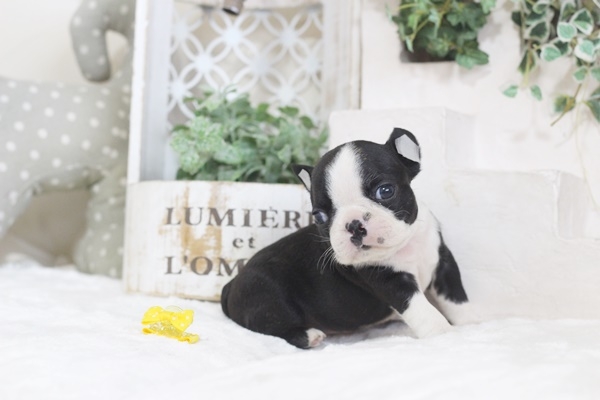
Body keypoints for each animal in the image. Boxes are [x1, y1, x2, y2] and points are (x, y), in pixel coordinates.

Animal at [221, 128, 468, 348]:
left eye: (385, 191)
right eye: (319, 216)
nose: (354, 224)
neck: (405, 245)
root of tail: (231, 284)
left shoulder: (443, 262)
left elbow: (456, 297)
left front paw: (470, 321)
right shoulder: (392, 281)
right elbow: (422, 309)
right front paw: (443, 334)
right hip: (267, 296)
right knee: (274, 327)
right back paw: (309, 336)